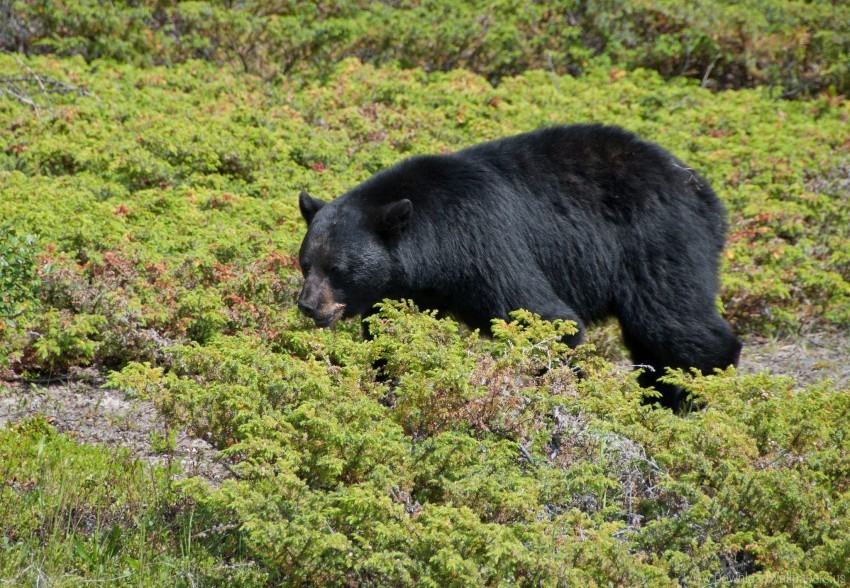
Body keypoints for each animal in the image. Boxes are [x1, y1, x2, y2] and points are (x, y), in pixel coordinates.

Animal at [296, 124, 736, 408]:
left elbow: (544, 318)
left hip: (656, 239)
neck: (433, 248)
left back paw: (697, 393)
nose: (308, 305)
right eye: (306, 264)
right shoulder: (409, 290)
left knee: (671, 320)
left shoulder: (484, 243)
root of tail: (701, 190)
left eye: (338, 268)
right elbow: (392, 335)